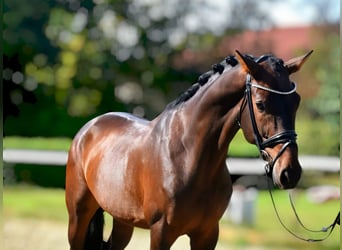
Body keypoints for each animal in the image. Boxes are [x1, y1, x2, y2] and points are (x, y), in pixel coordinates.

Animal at [65, 49, 312, 249]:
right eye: (260, 104)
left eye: (296, 101)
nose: (290, 172)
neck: (188, 158)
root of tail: (89, 128)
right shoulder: (161, 233)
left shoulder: (207, 234)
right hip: (78, 218)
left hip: (123, 221)